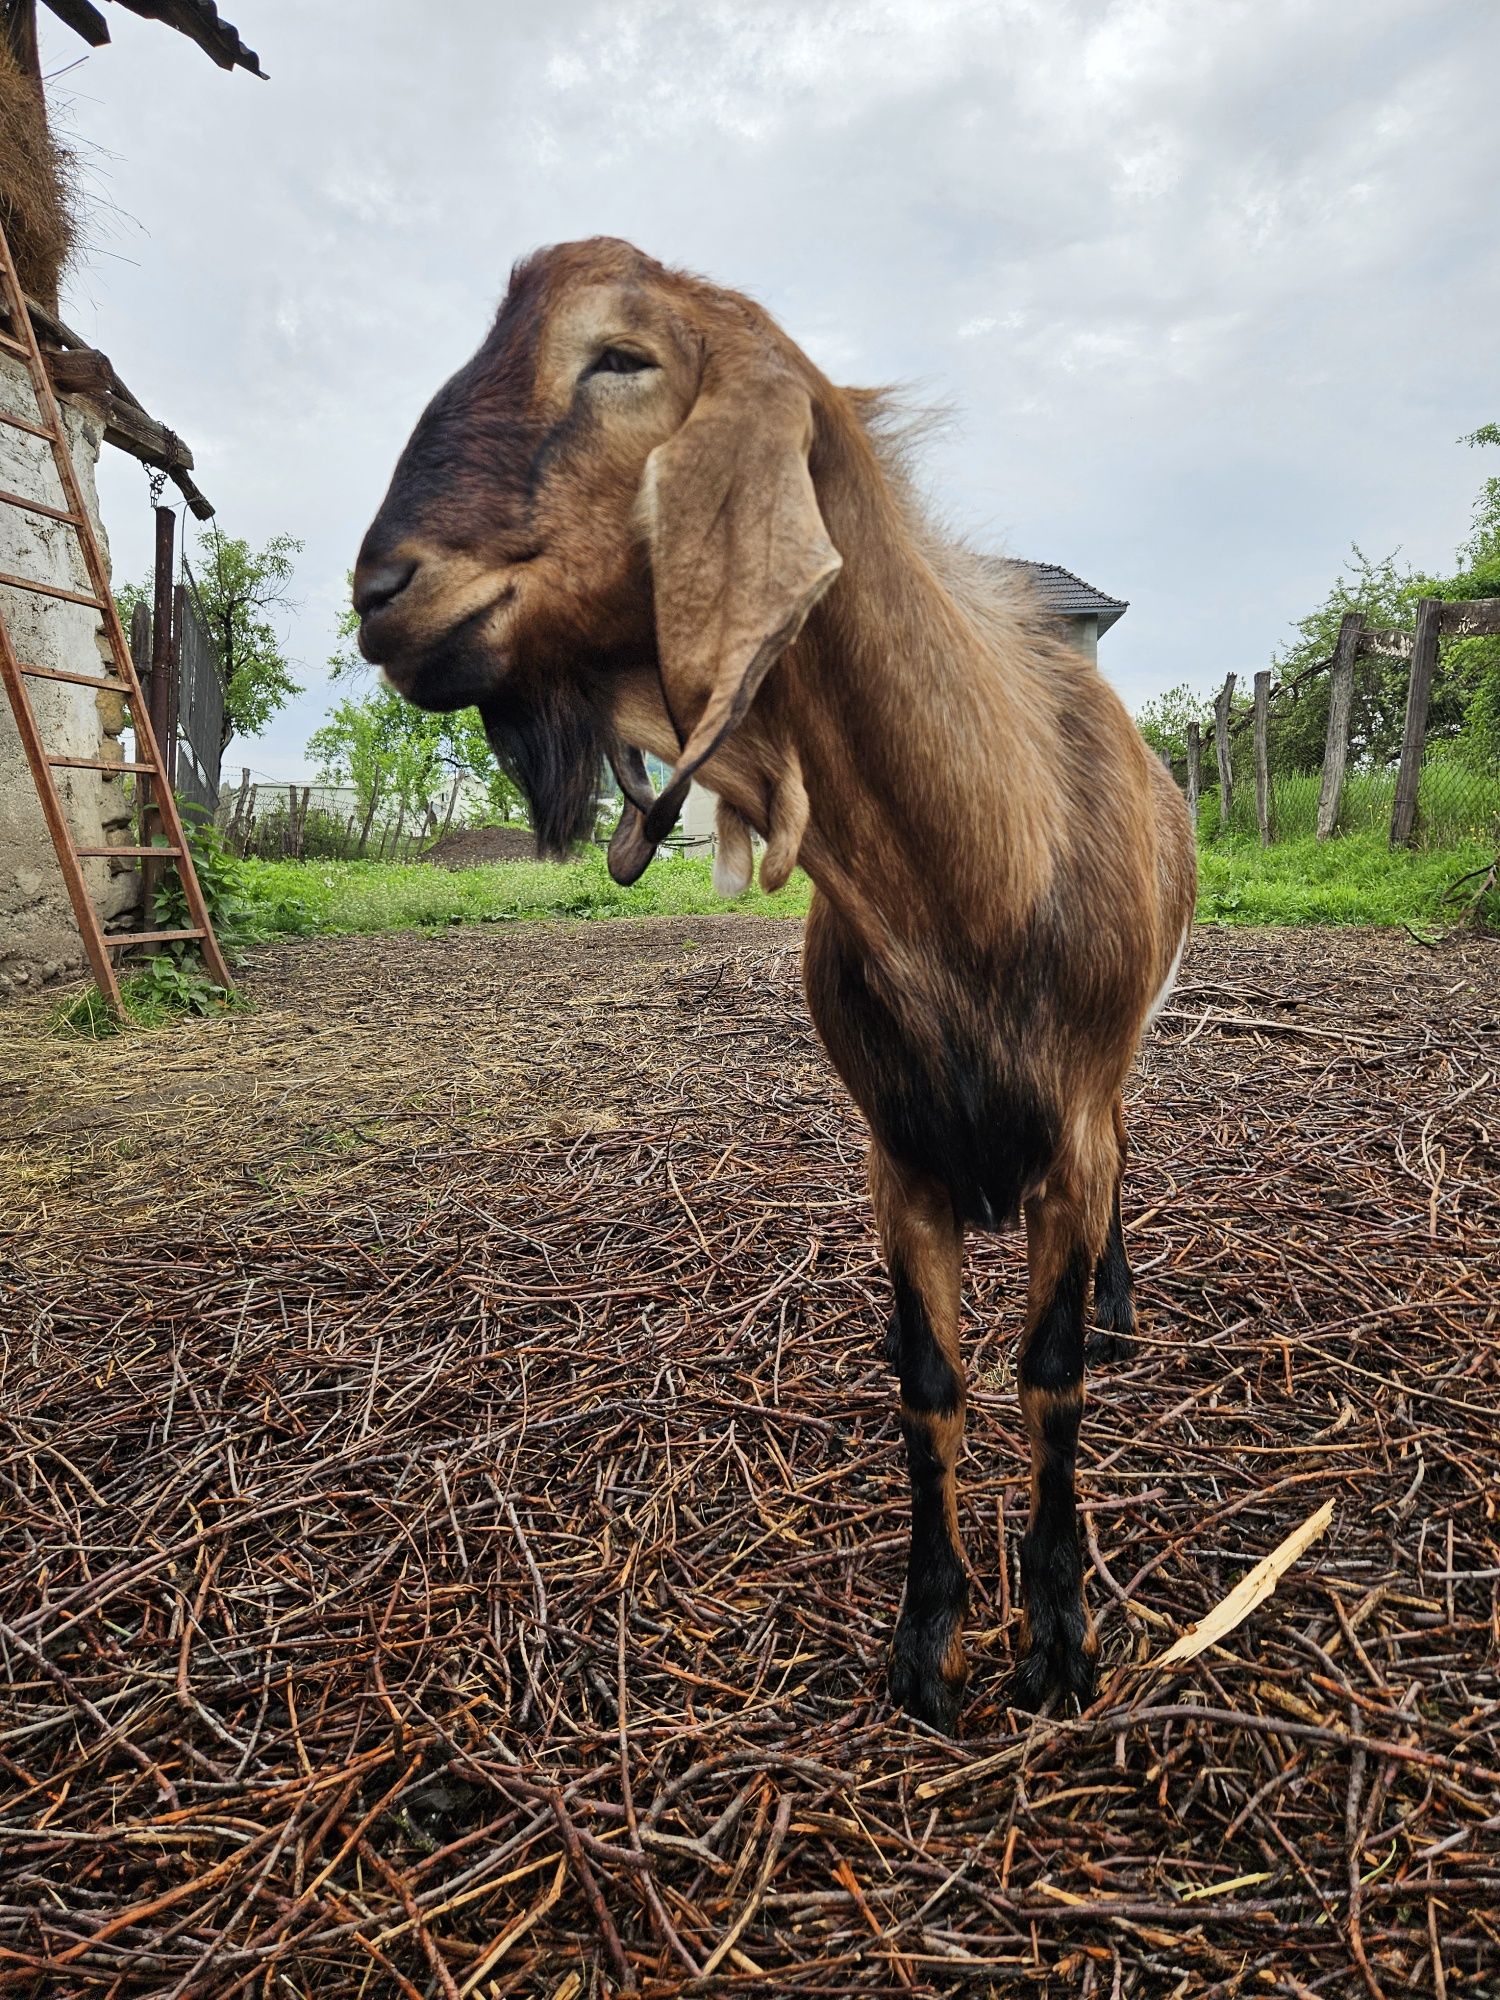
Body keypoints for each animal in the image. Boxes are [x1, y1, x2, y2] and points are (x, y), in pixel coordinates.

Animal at [352, 238, 1200, 1736]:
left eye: (620, 357)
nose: (380, 589)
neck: (981, 863)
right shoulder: (896, 1159)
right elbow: (929, 1388)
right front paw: (930, 1643)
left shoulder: (1071, 1130)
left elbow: (1049, 1382)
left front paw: (1058, 1636)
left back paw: (1120, 1295)